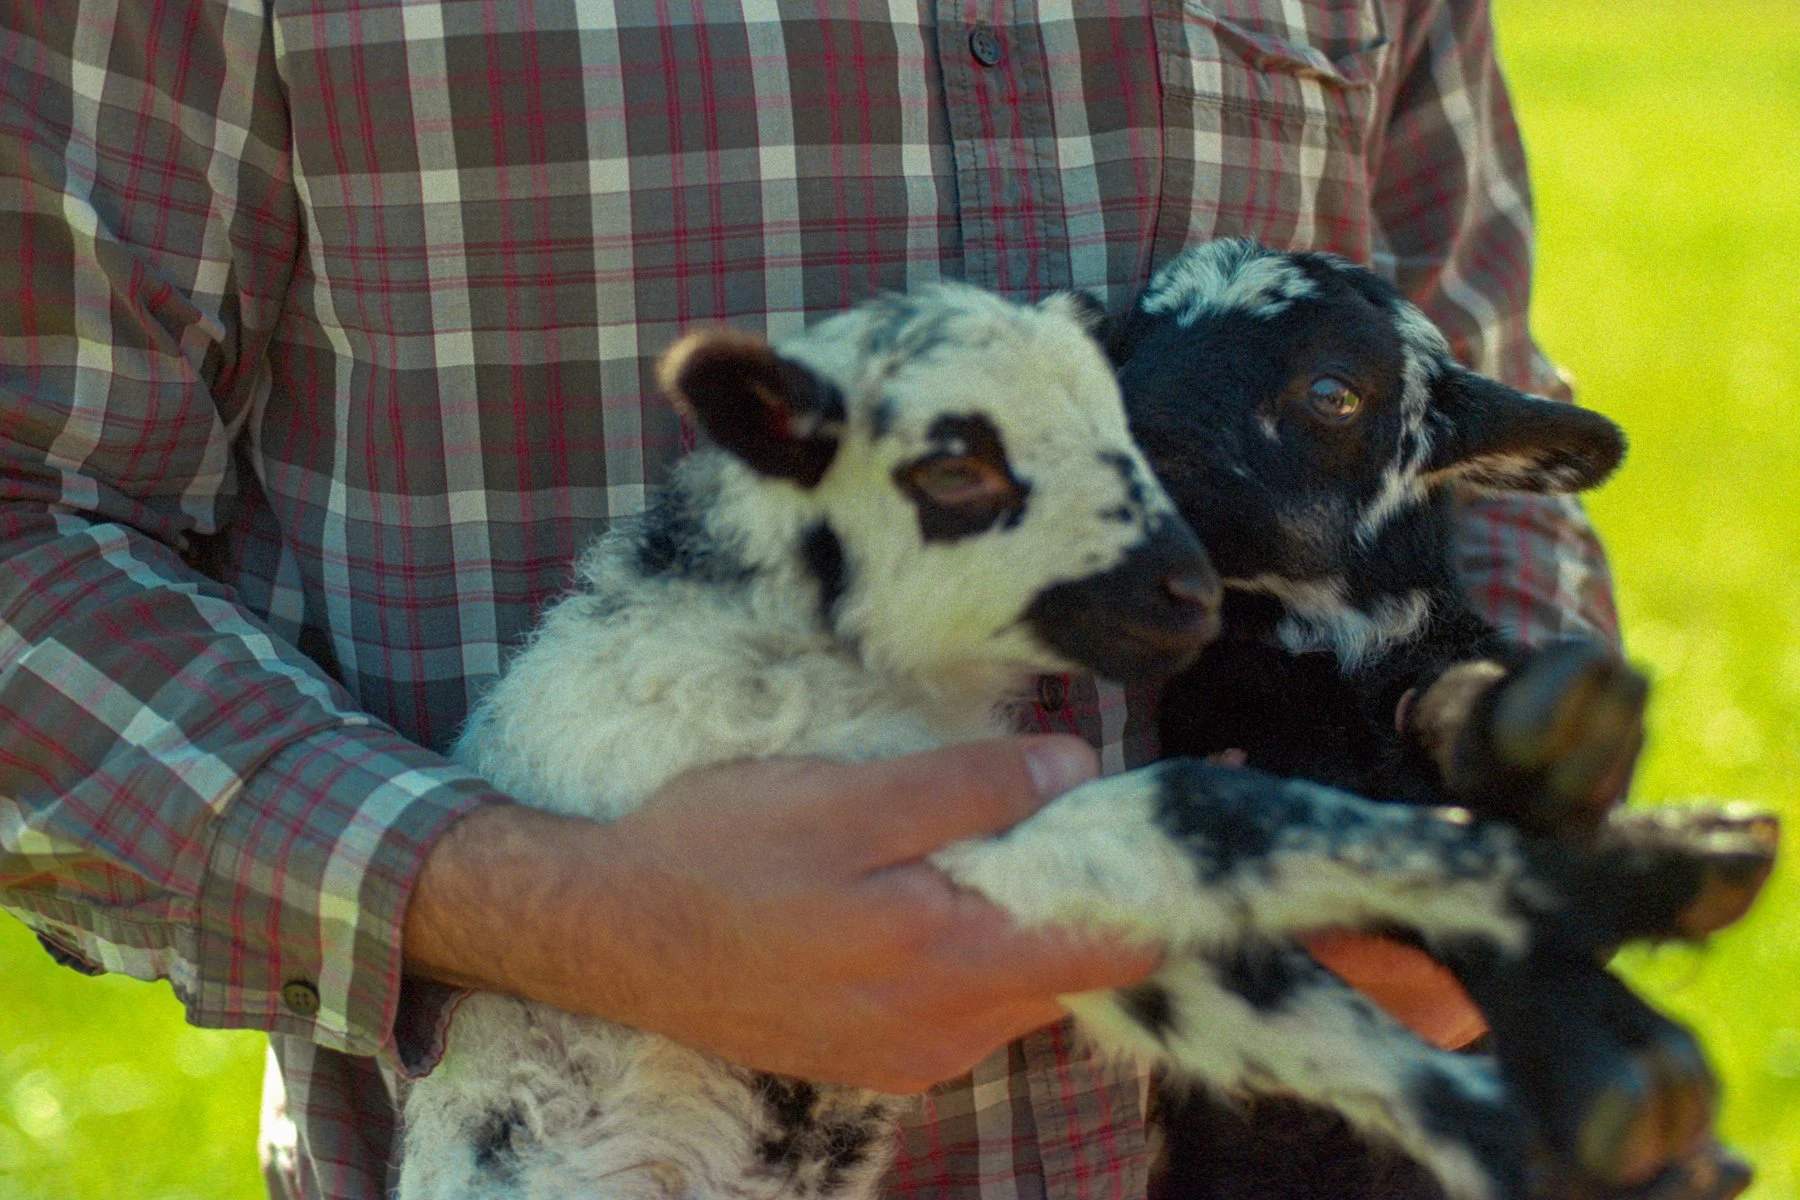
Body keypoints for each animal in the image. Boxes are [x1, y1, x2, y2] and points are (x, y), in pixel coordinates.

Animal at [1110, 240, 1770, 1200]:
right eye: (1120, 345)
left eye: (1333, 391)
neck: (1333, 640)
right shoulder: (1241, 731)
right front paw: (1612, 1051)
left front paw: (1541, 730)